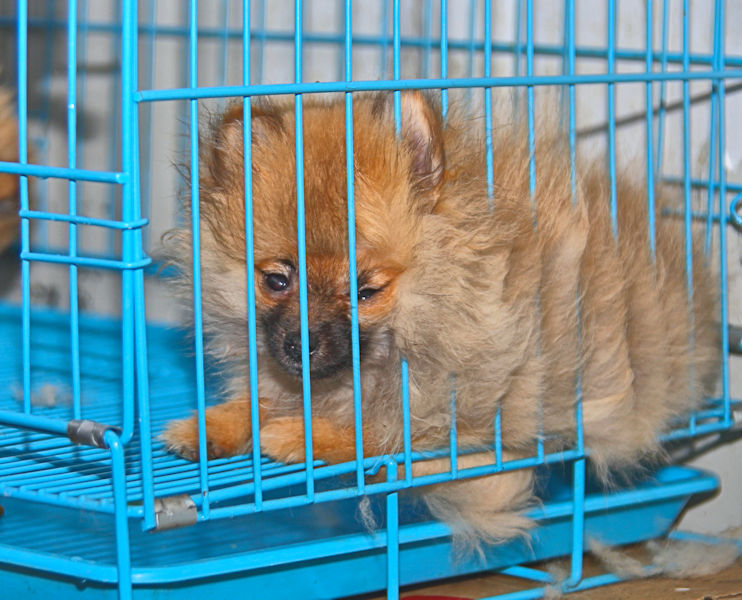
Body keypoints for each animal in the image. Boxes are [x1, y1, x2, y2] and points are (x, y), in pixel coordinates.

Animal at [164, 90, 720, 544]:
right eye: (277, 281)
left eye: (366, 291)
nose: (299, 345)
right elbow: (258, 402)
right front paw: (209, 425)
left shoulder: (464, 436)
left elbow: (376, 434)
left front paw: (296, 434)